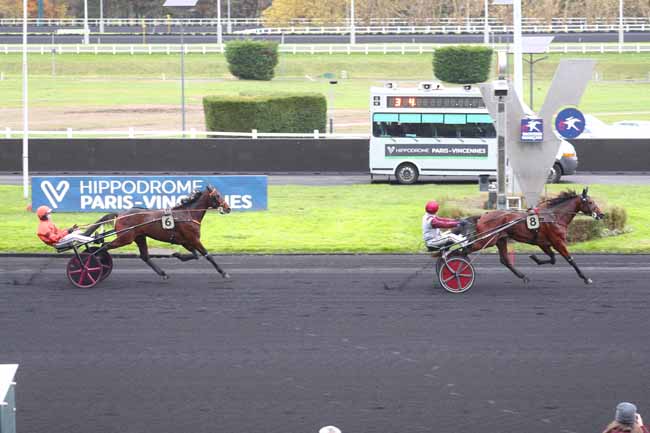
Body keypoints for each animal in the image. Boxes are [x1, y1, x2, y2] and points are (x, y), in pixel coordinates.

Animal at [83, 186, 230, 280]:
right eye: (217, 195)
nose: (228, 208)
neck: (187, 213)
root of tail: (120, 214)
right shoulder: (193, 239)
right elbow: (207, 255)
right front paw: (223, 272)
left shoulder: (185, 241)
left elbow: (195, 255)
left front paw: (177, 255)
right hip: (126, 238)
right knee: (104, 246)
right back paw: (90, 263)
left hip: (139, 237)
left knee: (145, 256)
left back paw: (163, 273)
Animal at [460, 186, 604, 284]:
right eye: (590, 202)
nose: (601, 214)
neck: (554, 216)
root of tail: (482, 216)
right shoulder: (557, 242)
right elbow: (570, 259)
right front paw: (585, 278)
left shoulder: (543, 243)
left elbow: (553, 259)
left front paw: (535, 258)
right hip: (486, 240)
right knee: (465, 250)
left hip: (500, 240)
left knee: (505, 260)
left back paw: (523, 277)